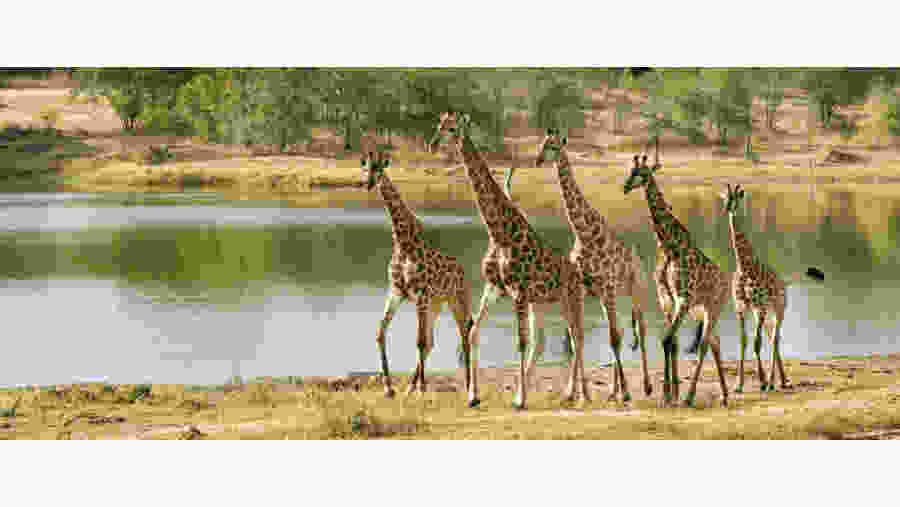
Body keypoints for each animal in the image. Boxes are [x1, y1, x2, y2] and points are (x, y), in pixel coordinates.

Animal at [361, 150, 474, 398]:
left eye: (379, 168)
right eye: (366, 168)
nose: (368, 183)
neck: (403, 243)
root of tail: (464, 271)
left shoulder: (420, 295)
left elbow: (419, 341)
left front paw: (422, 388)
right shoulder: (396, 292)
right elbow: (381, 333)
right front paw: (389, 387)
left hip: (456, 300)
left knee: (464, 332)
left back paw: (468, 385)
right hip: (436, 305)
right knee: (432, 340)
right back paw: (412, 385)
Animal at [429, 112, 590, 409]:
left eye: (452, 129)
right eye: (439, 125)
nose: (433, 144)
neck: (500, 233)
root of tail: (576, 272)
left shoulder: (518, 292)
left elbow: (520, 342)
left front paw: (520, 400)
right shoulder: (495, 288)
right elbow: (473, 332)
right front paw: (473, 396)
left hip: (569, 299)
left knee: (577, 337)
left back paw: (581, 394)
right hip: (543, 303)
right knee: (550, 340)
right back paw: (570, 393)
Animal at [518, 128, 652, 400]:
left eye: (554, 147)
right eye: (542, 144)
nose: (538, 160)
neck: (585, 232)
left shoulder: (607, 284)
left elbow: (610, 338)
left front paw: (624, 392)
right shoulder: (582, 286)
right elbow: (577, 336)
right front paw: (573, 391)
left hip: (634, 288)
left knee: (640, 330)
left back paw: (645, 386)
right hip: (608, 294)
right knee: (618, 330)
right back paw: (613, 390)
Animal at [624, 154, 731, 407]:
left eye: (640, 173)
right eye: (630, 171)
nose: (625, 187)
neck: (673, 248)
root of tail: (726, 282)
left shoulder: (682, 299)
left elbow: (667, 340)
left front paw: (668, 395)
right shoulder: (671, 300)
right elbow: (670, 341)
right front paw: (668, 394)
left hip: (715, 307)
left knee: (704, 345)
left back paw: (691, 397)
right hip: (703, 310)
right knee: (714, 343)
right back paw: (723, 395)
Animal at [722, 183, 789, 392]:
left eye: (737, 197)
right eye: (725, 197)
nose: (728, 208)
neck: (745, 266)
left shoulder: (760, 305)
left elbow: (756, 343)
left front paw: (763, 381)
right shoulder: (741, 307)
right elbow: (744, 341)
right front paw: (739, 384)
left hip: (778, 308)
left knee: (775, 338)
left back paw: (775, 381)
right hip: (764, 312)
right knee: (772, 336)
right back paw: (781, 379)